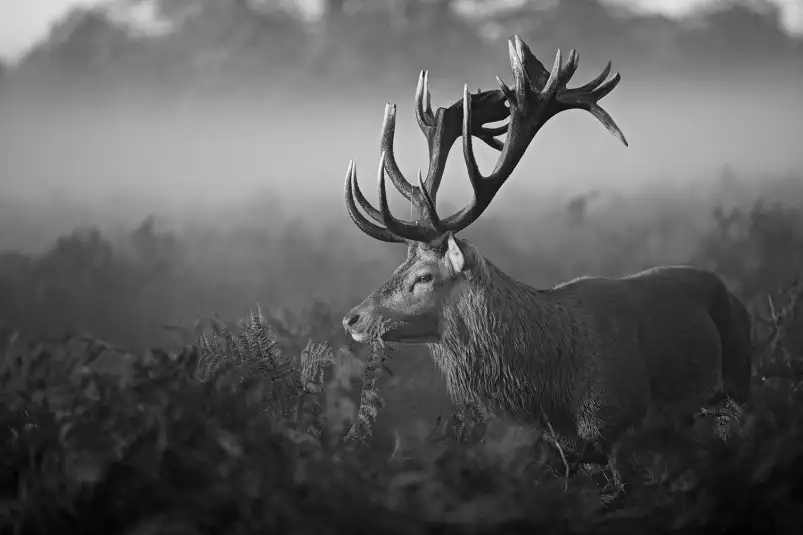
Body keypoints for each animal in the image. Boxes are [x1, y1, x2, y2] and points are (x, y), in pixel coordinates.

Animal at [340, 34, 752, 498]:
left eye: (424, 276)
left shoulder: (620, 429)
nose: (352, 318)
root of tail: (734, 295)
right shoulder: (559, 453)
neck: (556, 395)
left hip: (742, 380)